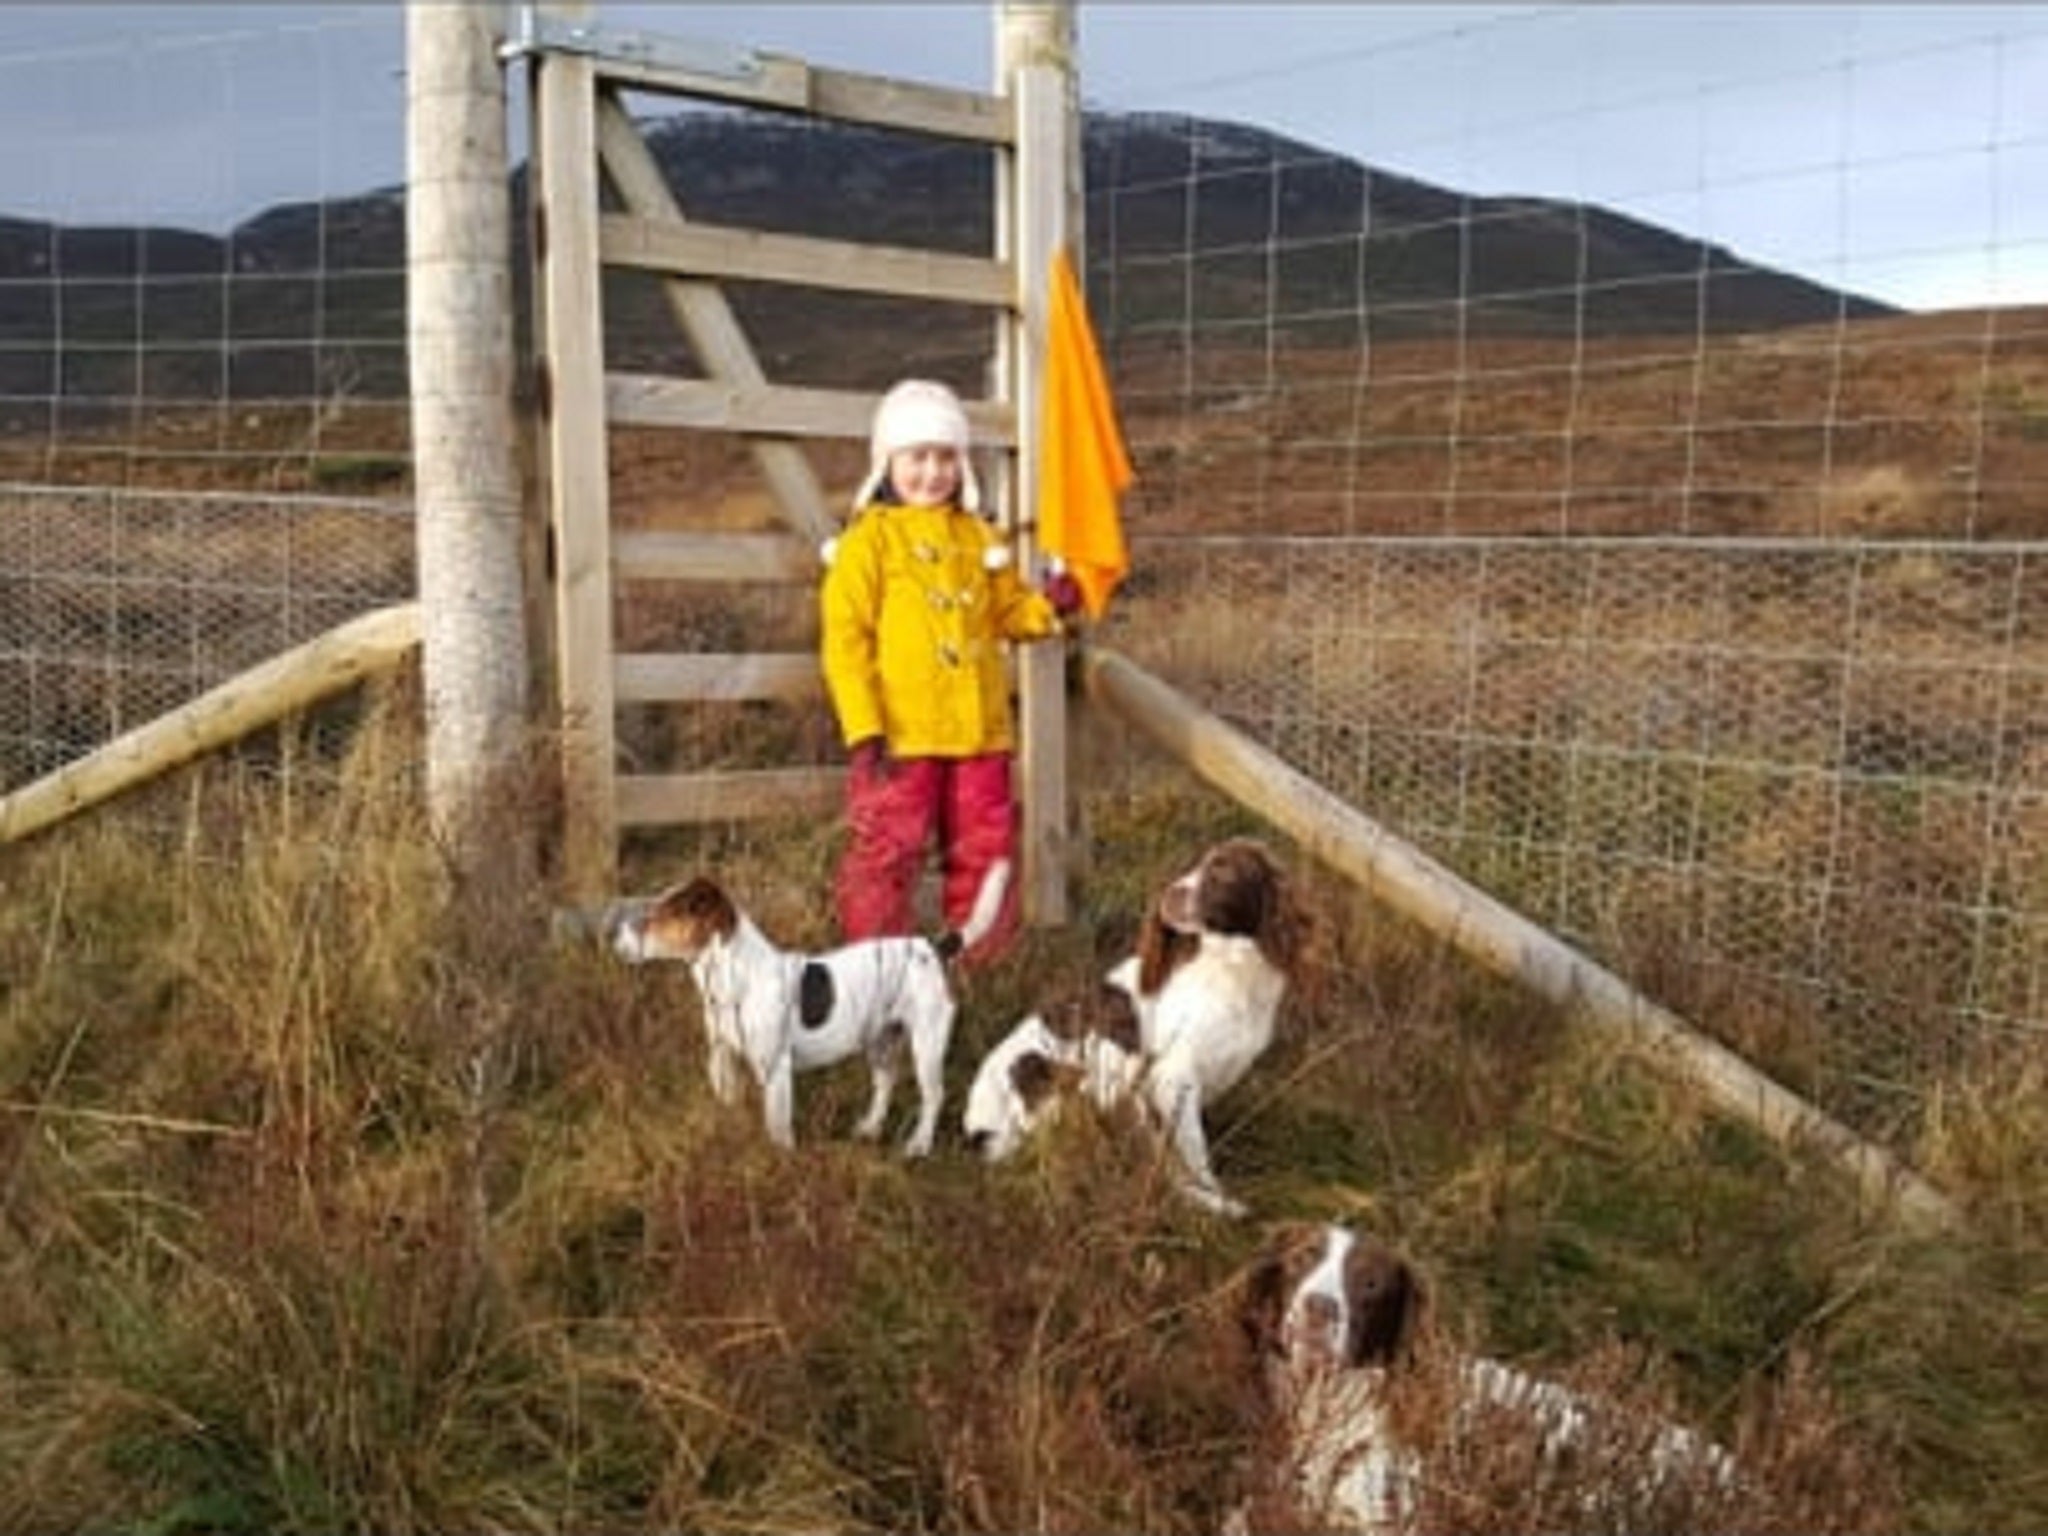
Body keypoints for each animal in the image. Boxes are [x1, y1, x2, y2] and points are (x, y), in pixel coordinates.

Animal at [606, 868, 1007, 1155]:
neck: (738, 979)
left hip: (927, 1043)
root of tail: (932, 947)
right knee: (885, 1082)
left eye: (659, 916)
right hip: (880, 1039)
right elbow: (729, 1103)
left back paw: (919, 1144)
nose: (613, 939)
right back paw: (869, 1128)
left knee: (933, 1096)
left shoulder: (775, 1070)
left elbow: (778, 1129)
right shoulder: (722, 1057)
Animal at [958, 835, 1310, 1220]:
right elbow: (1192, 1153)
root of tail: (978, 1130)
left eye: (1223, 871)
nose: (1168, 896)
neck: (1228, 969)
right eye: (1196, 866)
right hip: (1106, 1070)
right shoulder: (1172, 1077)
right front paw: (1213, 1193)